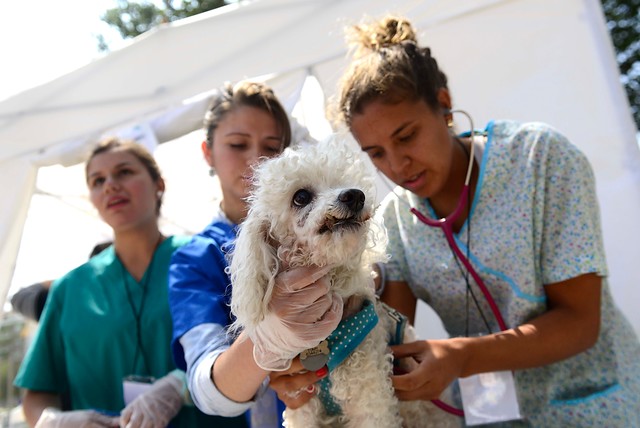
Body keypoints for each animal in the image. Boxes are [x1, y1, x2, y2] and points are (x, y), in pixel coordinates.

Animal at [228, 137, 458, 428]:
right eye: (301, 197)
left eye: (343, 183)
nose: (355, 195)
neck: (325, 339)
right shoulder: (302, 406)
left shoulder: (372, 402)